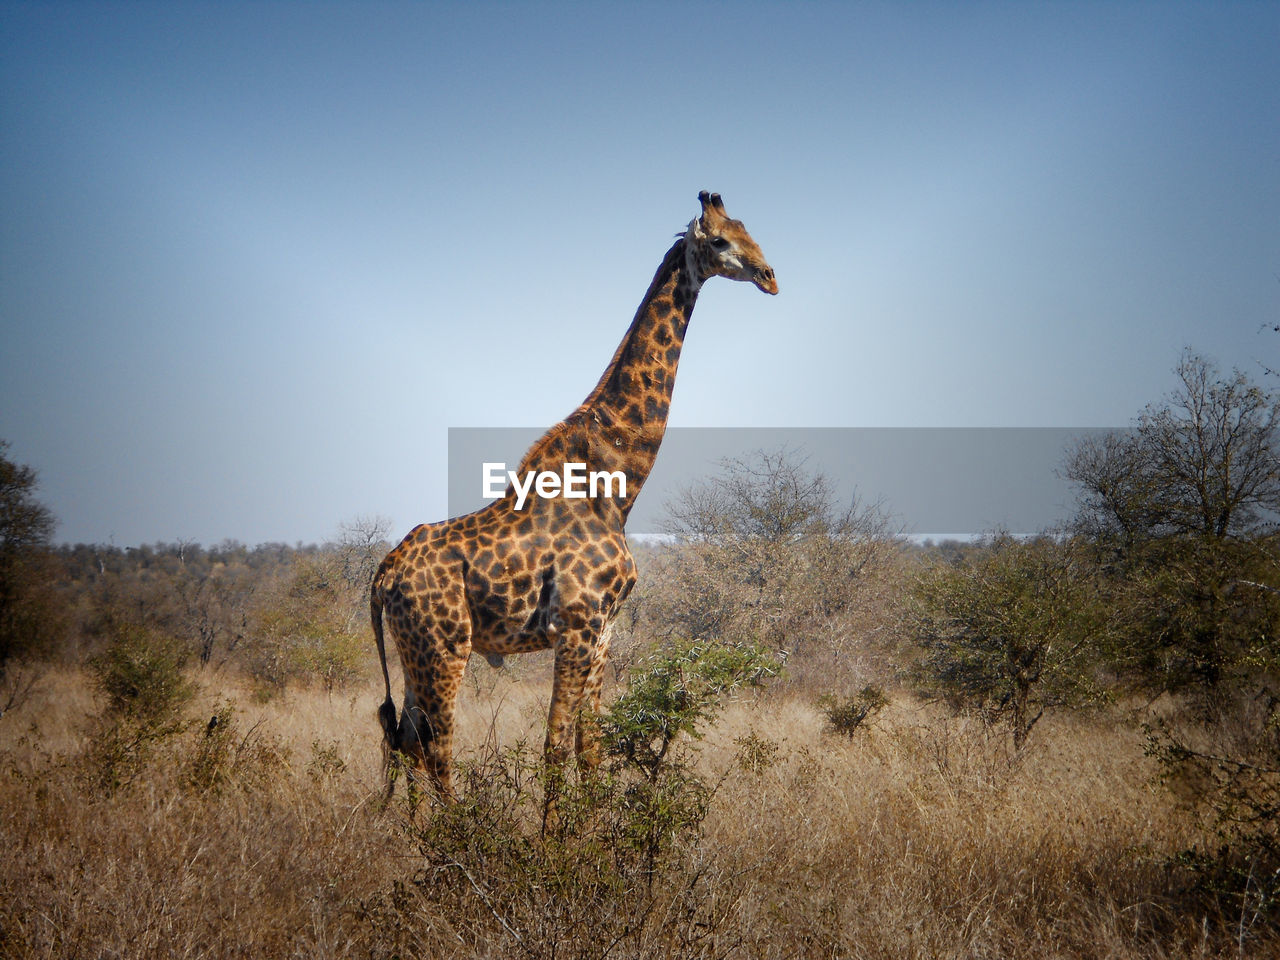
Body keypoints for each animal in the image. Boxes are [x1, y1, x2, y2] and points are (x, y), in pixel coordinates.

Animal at [366, 192, 773, 798]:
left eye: (750, 230)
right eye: (721, 240)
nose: (771, 277)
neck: (616, 487)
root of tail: (384, 575)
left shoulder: (604, 630)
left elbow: (590, 750)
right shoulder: (576, 625)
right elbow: (555, 748)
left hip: (414, 651)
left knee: (406, 744)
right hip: (445, 647)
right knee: (436, 753)